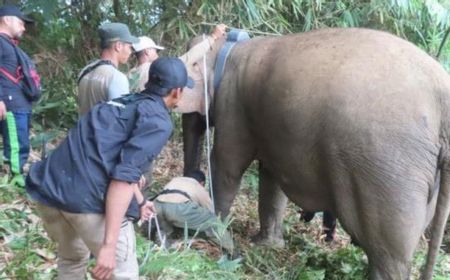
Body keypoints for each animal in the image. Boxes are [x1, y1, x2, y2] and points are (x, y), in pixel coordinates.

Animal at [200, 28, 450, 280]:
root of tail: (444, 103)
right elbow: (271, 179)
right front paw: (266, 245)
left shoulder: (233, 104)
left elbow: (226, 166)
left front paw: (213, 232)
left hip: (390, 171)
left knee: (388, 252)